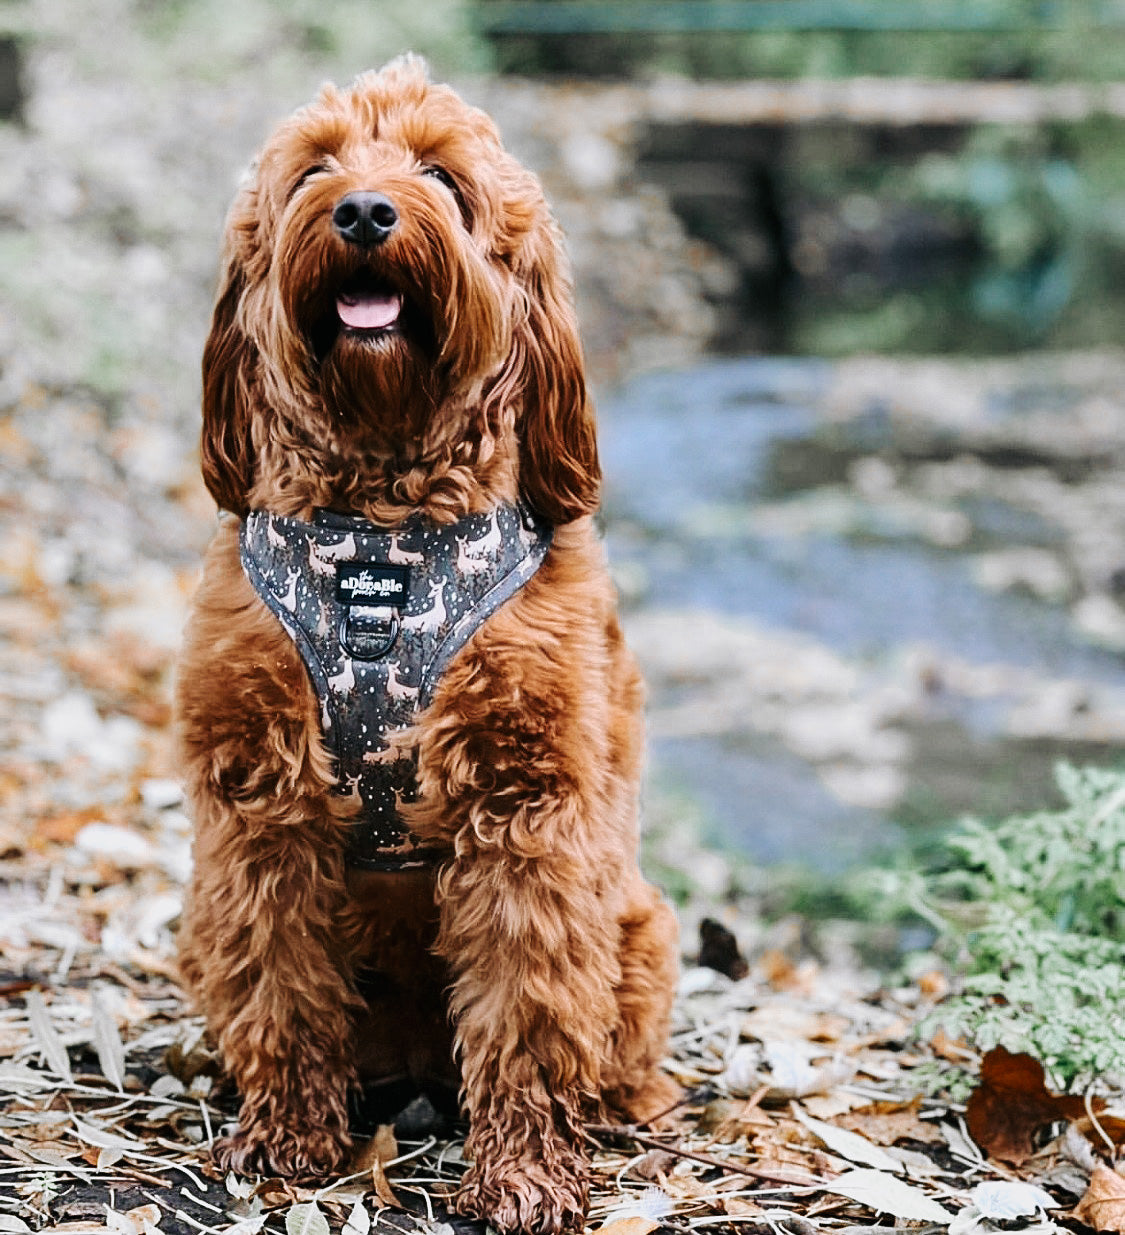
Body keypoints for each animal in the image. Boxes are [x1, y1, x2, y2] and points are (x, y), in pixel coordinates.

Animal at [175, 53, 676, 1230]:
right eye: (315, 168)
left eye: (443, 177)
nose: (364, 209)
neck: (381, 527)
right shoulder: (258, 808)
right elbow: (279, 978)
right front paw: (288, 1133)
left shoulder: (525, 812)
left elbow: (531, 1007)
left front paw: (526, 1168)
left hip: (638, 926)